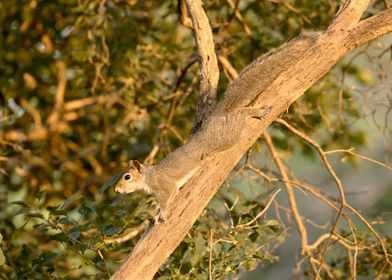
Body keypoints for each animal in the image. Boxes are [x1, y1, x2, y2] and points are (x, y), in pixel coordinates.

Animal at [114, 31, 322, 222]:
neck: (149, 176)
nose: (116, 189)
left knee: (241, 115)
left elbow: (166, 200)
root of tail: (214, 119)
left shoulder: (165, 187)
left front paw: (161, 213)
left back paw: (255, 112)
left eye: (127, 177)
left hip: (226, 136)